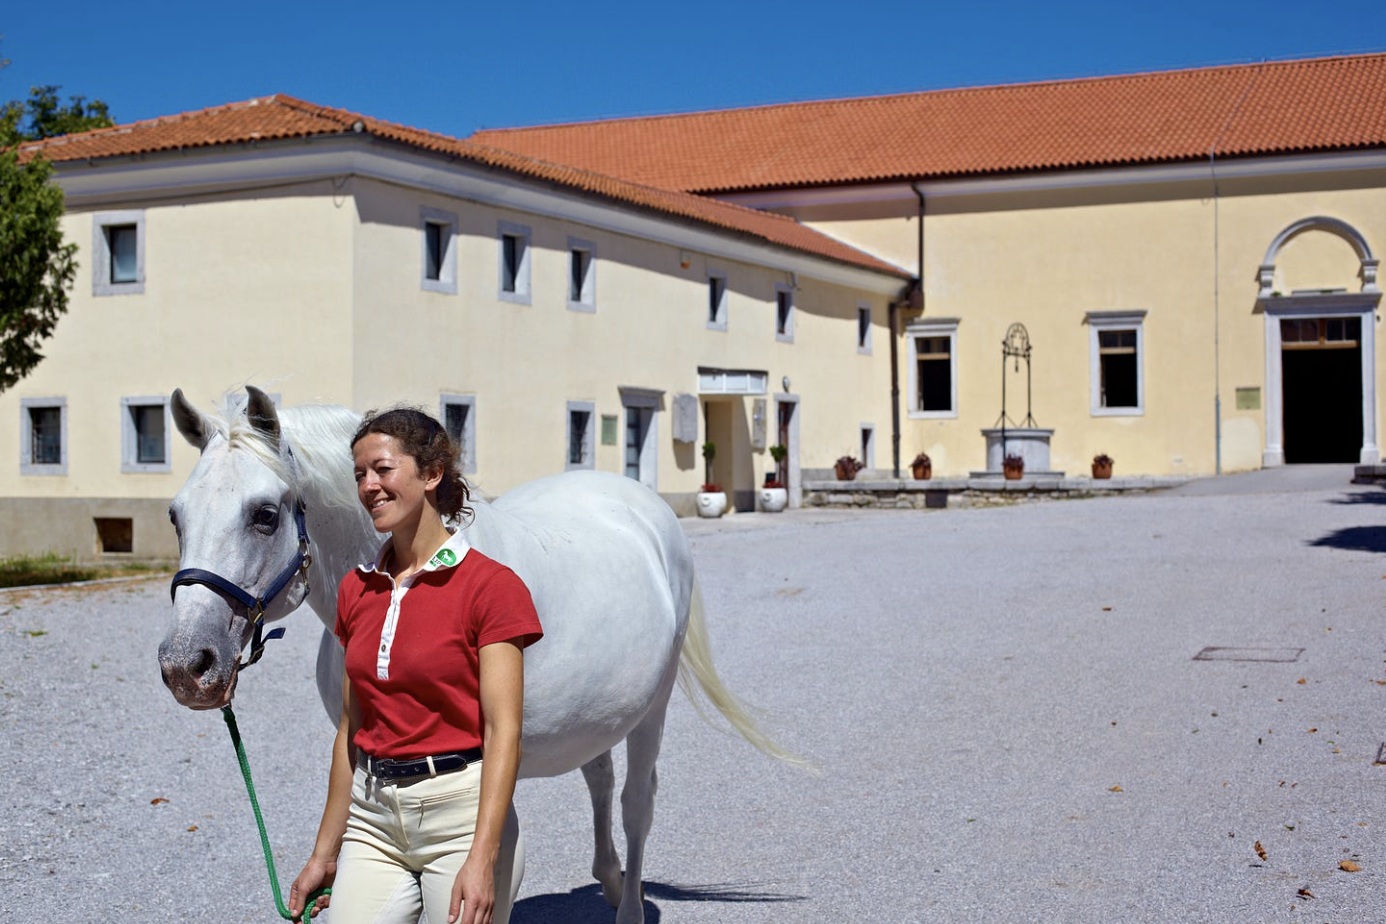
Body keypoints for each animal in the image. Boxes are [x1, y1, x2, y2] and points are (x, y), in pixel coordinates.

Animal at [157, 386, 794, 924]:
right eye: (175, 515)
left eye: (265, 514)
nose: (187, 665)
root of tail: (644, 507)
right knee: (600, 777)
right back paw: (611, 880)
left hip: (652, 709)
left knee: (637, 801)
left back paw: (630, 905)